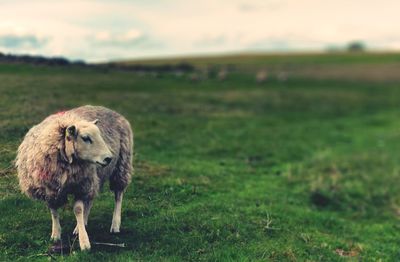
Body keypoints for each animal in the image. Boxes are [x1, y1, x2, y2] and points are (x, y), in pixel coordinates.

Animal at [14, 105, 134, 251]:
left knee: (118, 195)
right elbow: (53, 210)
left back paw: (115, 224)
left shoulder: (81, 185)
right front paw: (56, 234)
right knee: (90, 199)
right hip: (94, 177)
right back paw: (83, 223)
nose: (109, 158)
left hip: (121, 165)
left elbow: (78, 209)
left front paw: (84, 242)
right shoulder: (50, 188)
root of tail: (108, 109)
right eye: (85, 138)